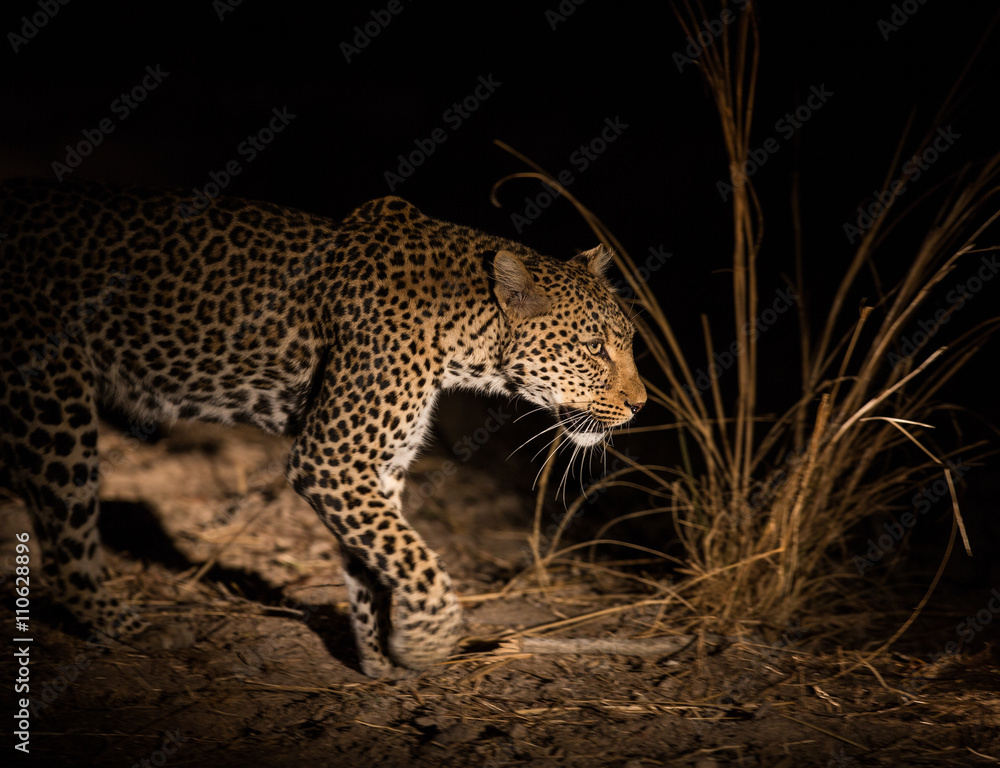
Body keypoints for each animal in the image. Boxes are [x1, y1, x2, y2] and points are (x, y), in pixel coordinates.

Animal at [0, 177, 646, 677]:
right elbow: (417, 559)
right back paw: (126, 625)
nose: (641, 405)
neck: (465, 338)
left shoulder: (373, 467)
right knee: (65, 539)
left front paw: (380, 658)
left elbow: (376, 560)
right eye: (595, 349)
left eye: (630, 341)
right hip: (54, 395)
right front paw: (427, 643)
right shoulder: (331, 457)